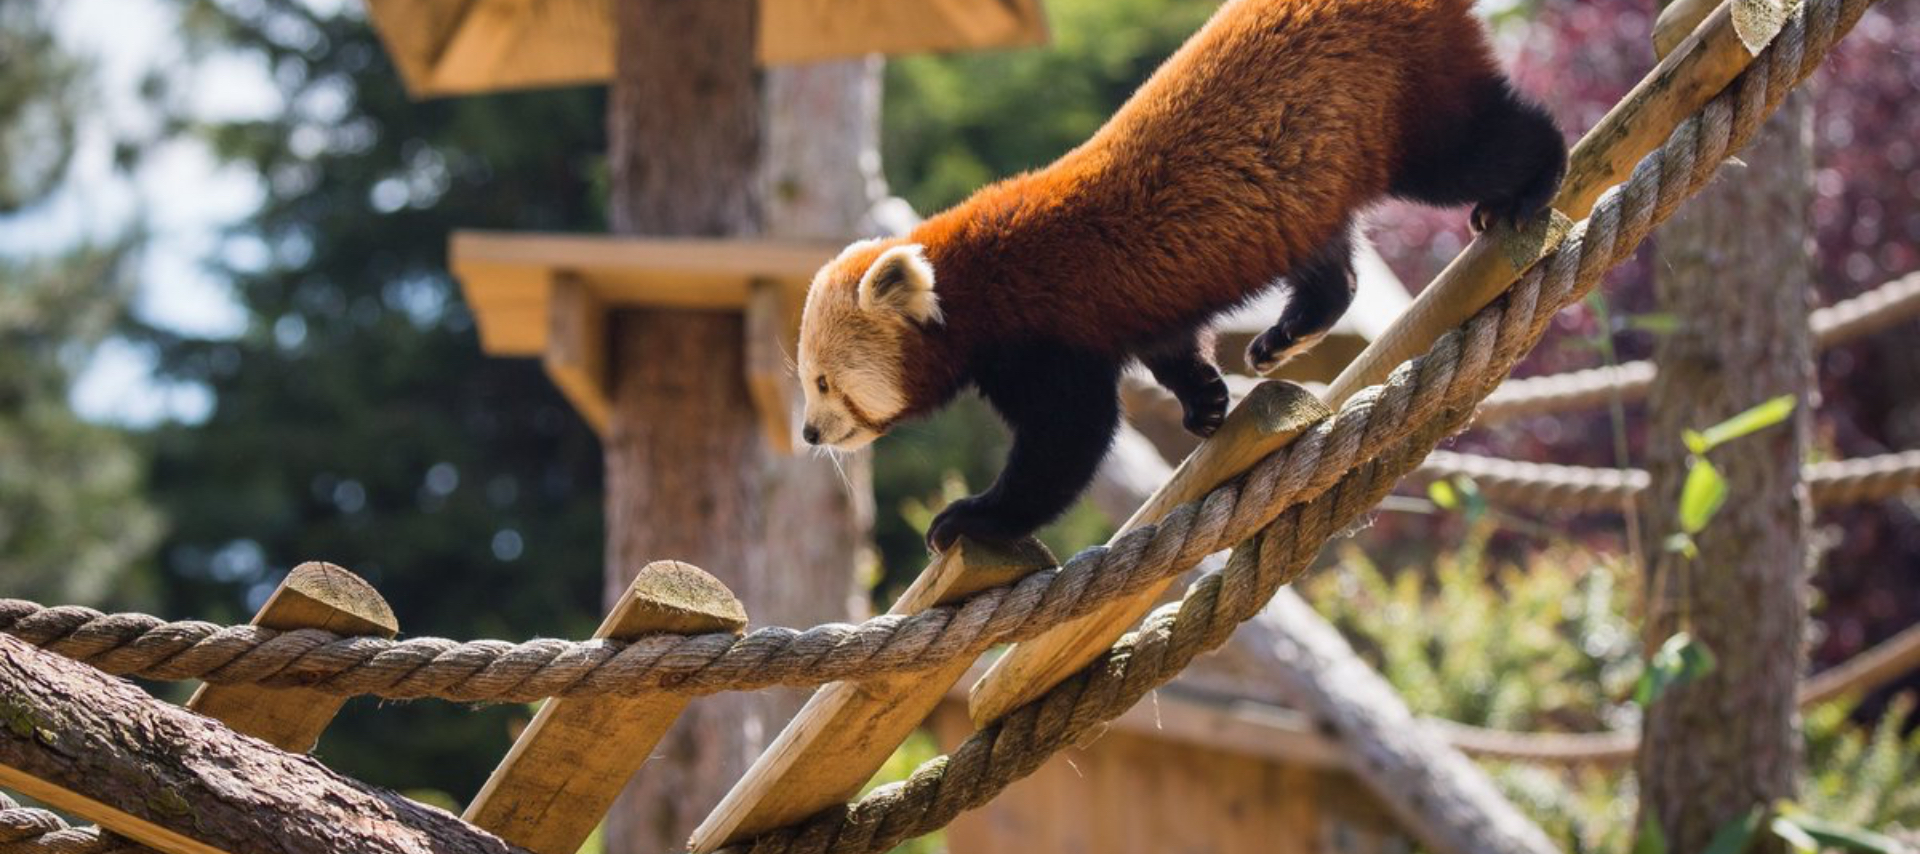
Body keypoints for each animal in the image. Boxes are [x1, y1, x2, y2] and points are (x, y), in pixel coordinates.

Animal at [791, 0, 1559, 548]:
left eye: (823, 382)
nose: (809, 435)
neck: (970, 287)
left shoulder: (1043, 336)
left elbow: (1068, 439)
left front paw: (975, 517)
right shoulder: (1137, 312)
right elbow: (1169, 349)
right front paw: (1207, 399)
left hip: (1409, 101)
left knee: (1478, 145)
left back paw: (1532, 185)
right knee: (1326, 258)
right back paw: (1286, 335)